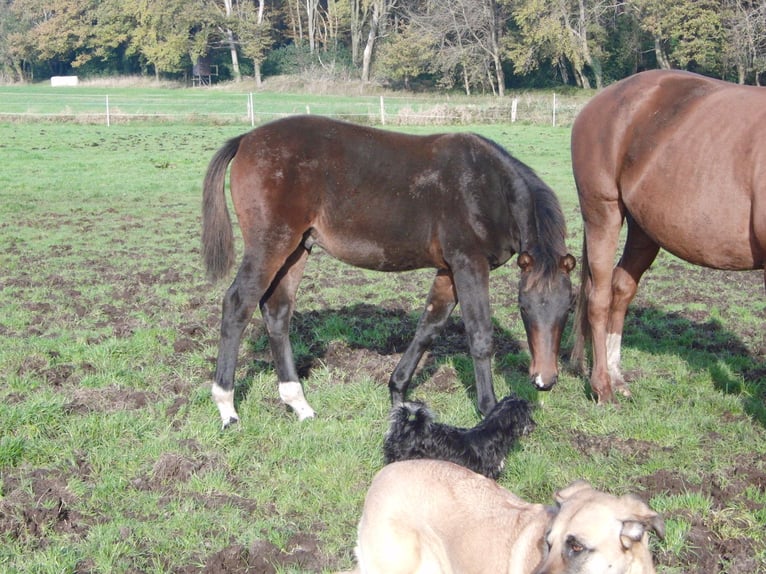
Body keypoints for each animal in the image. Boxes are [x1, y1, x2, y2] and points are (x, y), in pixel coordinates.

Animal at [204, 116, 576, 428]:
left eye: (567, 309)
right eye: (523, 306)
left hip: (297, 248)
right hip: (271, 244)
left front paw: (398, 393)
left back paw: (299, 403)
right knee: (237, 305)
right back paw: (227, 407)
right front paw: (489, 409)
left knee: (277, 312)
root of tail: (245, 140)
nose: (544, 380)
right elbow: (480, 335)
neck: (489, 188)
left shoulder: (448, 270)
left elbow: (429, 327)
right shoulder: (469, 263)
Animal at [568, 70, 766, 404]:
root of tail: (600, 101)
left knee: (621, 289)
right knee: (599, 297)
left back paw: (617, 378)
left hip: (644, 229)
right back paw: (603, 387)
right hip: (603, 213)